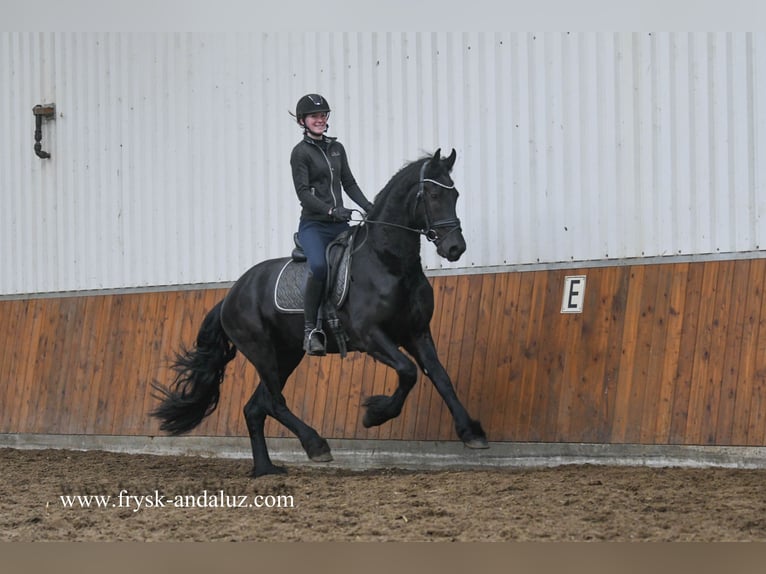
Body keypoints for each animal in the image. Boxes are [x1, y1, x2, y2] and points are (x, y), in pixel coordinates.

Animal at [152, 148, 488, 476]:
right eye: (432, 194)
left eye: (455, 194)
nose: (455, 248)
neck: (389, 262)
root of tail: (230, 296)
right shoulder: (371, 336)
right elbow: (408, 371)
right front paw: (375, 415)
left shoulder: (416, 332)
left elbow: (440, 377)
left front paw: (472, 433)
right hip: (261, 351)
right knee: (274, 402)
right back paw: (316, 446)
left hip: (287, 354)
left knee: (256, 407)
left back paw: (266, 470)